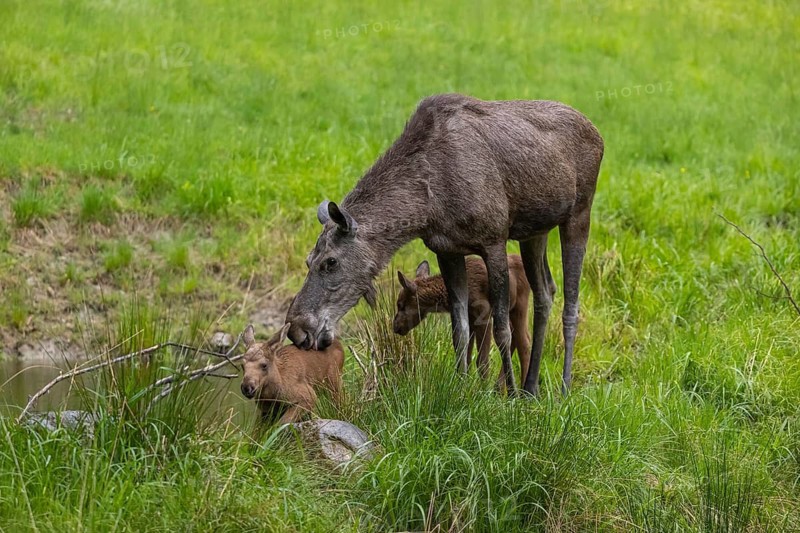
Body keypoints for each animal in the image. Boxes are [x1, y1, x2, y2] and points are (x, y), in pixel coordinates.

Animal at [393, 255, 535, 389]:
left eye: (400, 305)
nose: (395, 326)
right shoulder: (470, 319)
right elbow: (465, 355)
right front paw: (463, 385)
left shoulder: (483, 314)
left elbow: (481, 360)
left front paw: (483, 390)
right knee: (515, 336)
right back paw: (499, 388)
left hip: (519, 305)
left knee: (524, 342)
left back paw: (523, 391)